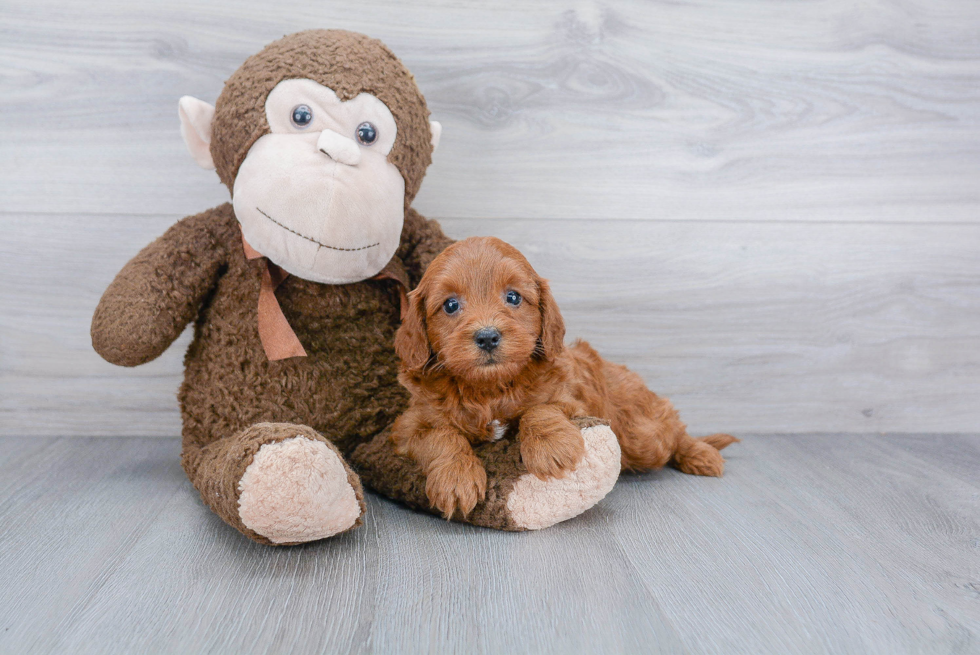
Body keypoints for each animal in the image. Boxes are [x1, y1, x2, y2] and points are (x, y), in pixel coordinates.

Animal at [390, 238, 736, 520]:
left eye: (513, 297)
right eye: (450, 305)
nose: (487, 337)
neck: (490, 388)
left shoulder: (573, 400)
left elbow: (540, 408)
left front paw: (550, 448)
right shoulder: (407, 426)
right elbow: (441, 435)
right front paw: (455, 477)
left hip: (641, 433)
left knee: (672, 429)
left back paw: (701, 454)